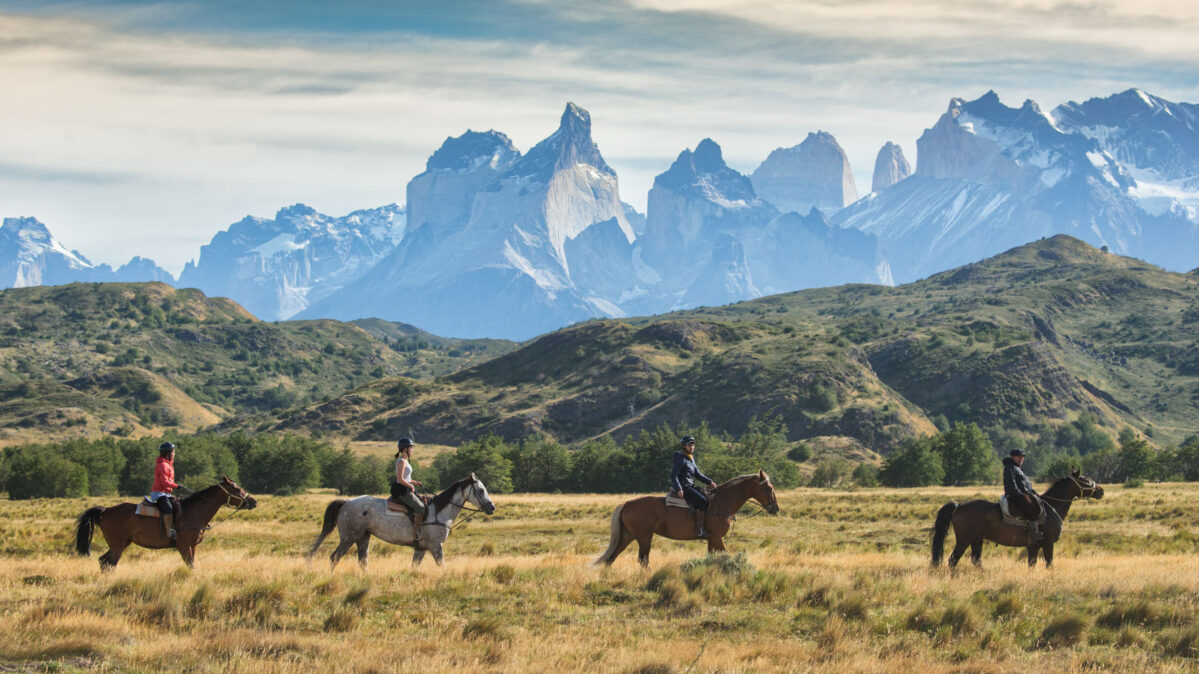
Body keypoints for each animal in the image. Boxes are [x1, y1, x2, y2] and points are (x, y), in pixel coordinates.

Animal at [75, 476, 257, 570]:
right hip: (118, 545)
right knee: (108, 562)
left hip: (123, 543)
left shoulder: (193, 546)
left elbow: (193, 565)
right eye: (236, 489)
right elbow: (190, 565)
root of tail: (105, 510)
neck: (193, 512)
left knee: (104, 561)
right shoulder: (183, 546)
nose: (253, 501)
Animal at [307, 473, 495, 569]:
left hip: (363, 538)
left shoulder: (421, 549)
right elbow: (442, 566)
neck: (439, 512)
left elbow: (414, 567)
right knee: (334, 557)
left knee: (363, 561)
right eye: (480, 490)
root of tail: (346, 502)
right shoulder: (436, 546)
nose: (491, 507)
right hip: (349, 538)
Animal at [595, 470, 780, 567]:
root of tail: (626, 503)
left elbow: (712, 558)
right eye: (769, 488)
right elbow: (724, 555)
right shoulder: (716, 538)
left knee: (611, 558)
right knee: (642, 560)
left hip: (628, 536)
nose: (775, 508)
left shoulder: (712, 540)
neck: (721, 502)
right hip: (644, 537)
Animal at [931, 469, 1104, 569]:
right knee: (953, 560)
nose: (1100, 490)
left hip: (977, 539)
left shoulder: (1034, 547)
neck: (1051, 507)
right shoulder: (1048, 544)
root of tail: (958, 506)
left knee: (976, 560)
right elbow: (1049, 563)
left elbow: (1032, 565)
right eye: (1085, 479)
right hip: (964, 540)